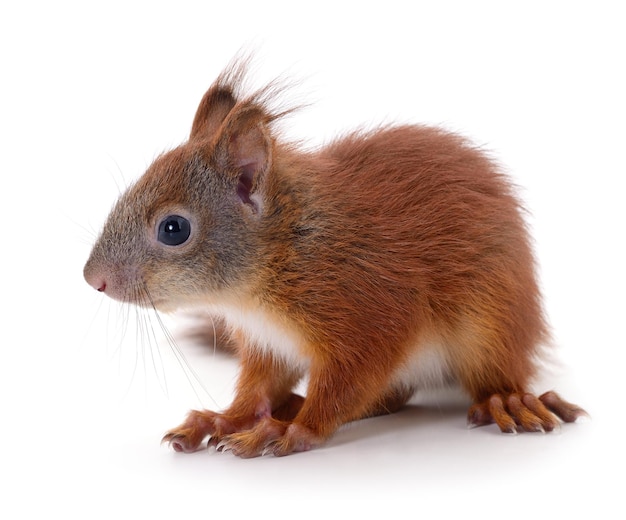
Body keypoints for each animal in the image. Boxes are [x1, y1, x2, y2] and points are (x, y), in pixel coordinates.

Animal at [83, 55, 584, 456]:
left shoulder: (369, 316)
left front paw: (290, 432)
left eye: (174, 229)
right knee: (392, 398)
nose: (93, 279)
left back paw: (508, 401)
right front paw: (223, 419)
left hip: (490, 328)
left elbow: (346, 386)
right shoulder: (267, 345)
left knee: (482, 377)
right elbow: (257, 389)